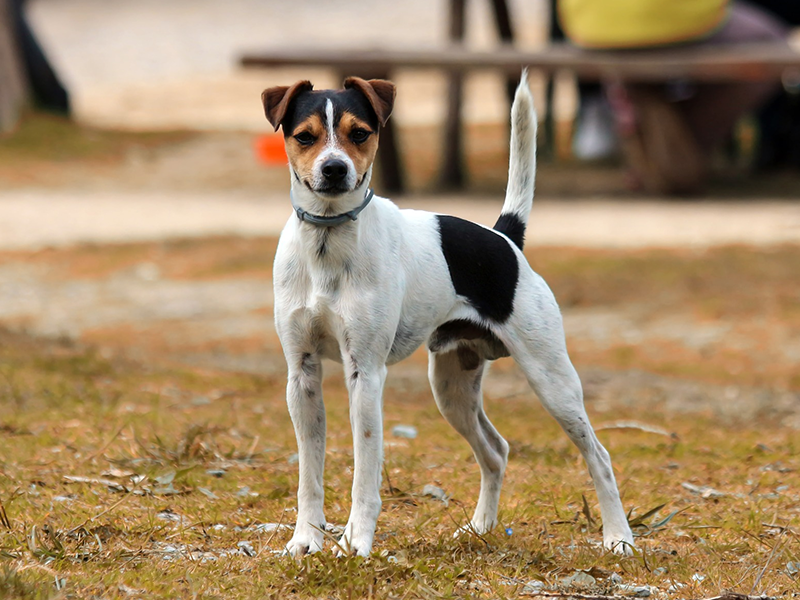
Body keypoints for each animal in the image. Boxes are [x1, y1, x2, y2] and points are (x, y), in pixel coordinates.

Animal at [266, 74, 636, 556]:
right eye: (305, 137)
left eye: (359, 134)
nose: (334, 169)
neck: (328, 243)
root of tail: (504, 238)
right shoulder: (302, 374)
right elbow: (309, 475)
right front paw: (305, 539)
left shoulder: (365, 375)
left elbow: (365, 474)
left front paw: (356, 542)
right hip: (452, 388)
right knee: (496, 451)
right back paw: (480, 527)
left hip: (552, 381)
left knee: (599, 456)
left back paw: (619, 538)